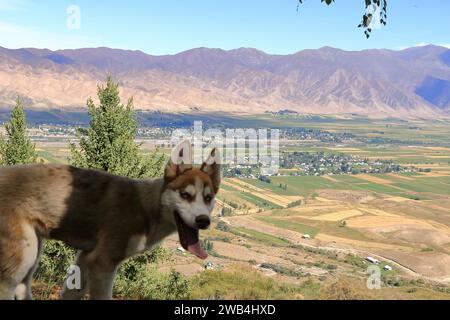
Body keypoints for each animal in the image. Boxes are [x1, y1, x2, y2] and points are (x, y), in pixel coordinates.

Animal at [0, 142, 220, 300]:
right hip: (22, 259)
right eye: (185, 195)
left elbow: (72, 292)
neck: (147, 207)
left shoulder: (86, 258)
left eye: (208, 198)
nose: (203, 221)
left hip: (32, 255)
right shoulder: (103, 263)